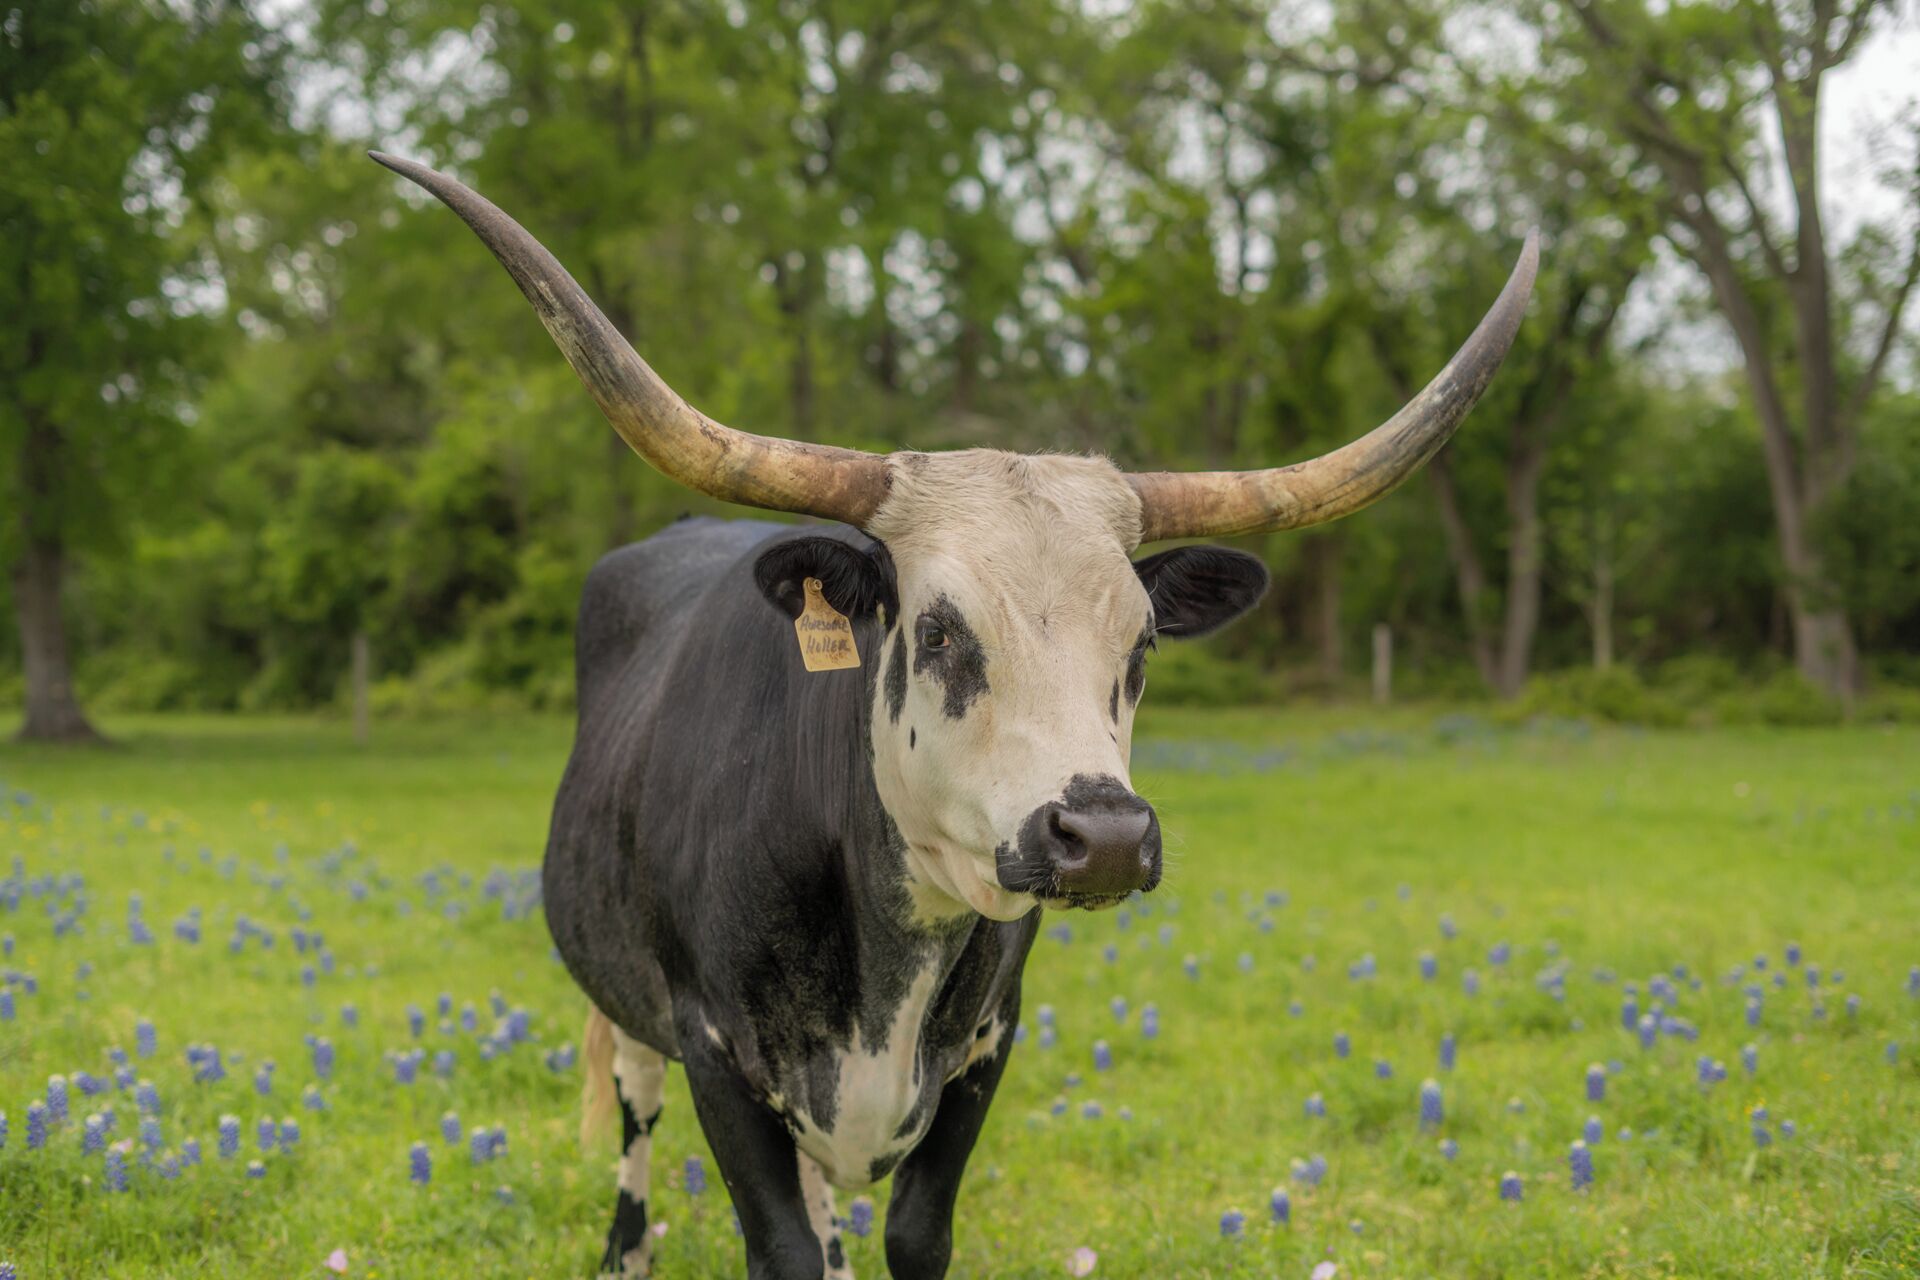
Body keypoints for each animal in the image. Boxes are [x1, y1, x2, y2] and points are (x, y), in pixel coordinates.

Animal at [371, 151, 1536, 1280]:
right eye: (936, 630)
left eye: (1143, 644)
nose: (1106, 834)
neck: (894, 938)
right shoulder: (716, 1050)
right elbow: (780, 1244)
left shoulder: (984, 1048)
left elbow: (914, 1236)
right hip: (631, 1011)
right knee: (636, 1117)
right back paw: (627, 1251)